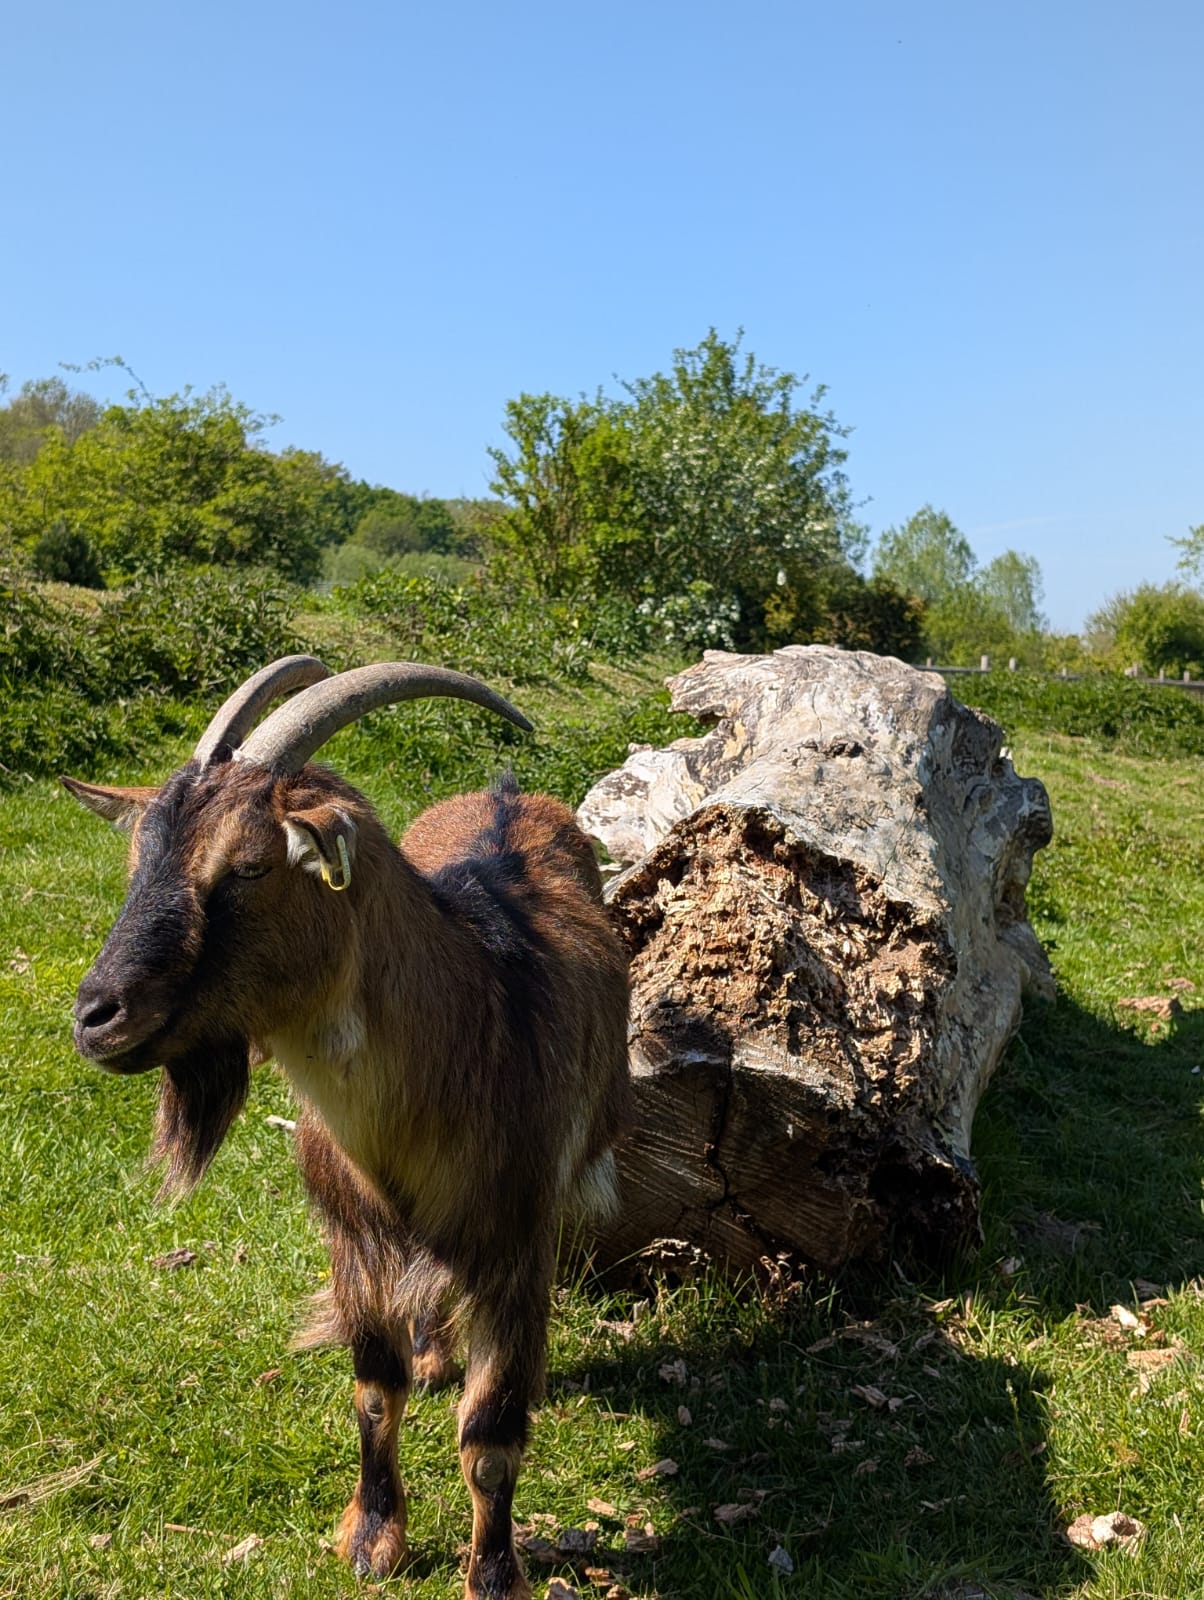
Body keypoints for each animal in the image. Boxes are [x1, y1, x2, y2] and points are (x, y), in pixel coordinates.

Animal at [64, 656, 632, 1600]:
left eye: (250, 866)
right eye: (138, 858)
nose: (96, 1017)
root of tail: (511, 792)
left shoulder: (518, 1241)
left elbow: (491, 1435)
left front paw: (493, 1573)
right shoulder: (351, 1234)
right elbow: (373, 1391)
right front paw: (372, 1538)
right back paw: (434, 1352)